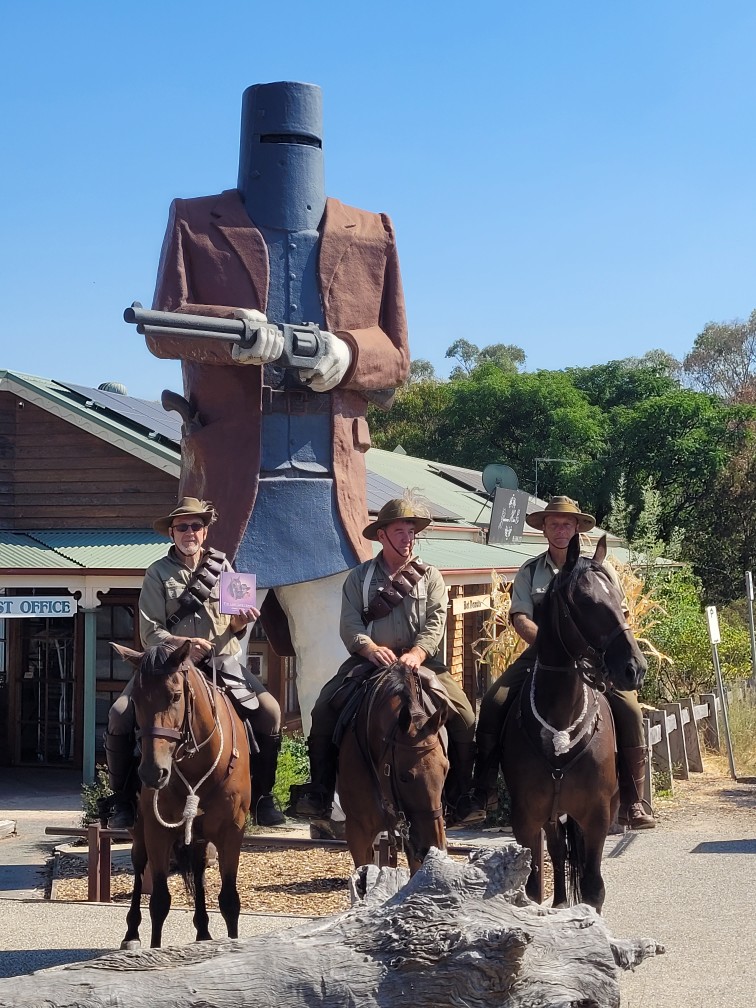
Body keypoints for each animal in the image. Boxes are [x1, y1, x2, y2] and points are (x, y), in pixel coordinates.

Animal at [111, 640, 251, 949]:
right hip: (140, 831)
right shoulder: (157, 831)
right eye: (135, 700)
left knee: (198, 870)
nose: (152, 773)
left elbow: (229, 901)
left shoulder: (231, 832)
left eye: (175, 696)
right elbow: (159, 901)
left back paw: (203, 934)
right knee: (139, 867)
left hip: (198, 836)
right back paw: (131, 934)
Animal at [500, 533, 647, 912]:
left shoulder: (596, 817)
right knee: (557, 851)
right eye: (586, 601)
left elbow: (594, 889)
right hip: (552, 816)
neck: (560, 724)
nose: (635, 668)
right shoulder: (527, 820)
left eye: (620, 600)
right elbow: (530, 890)